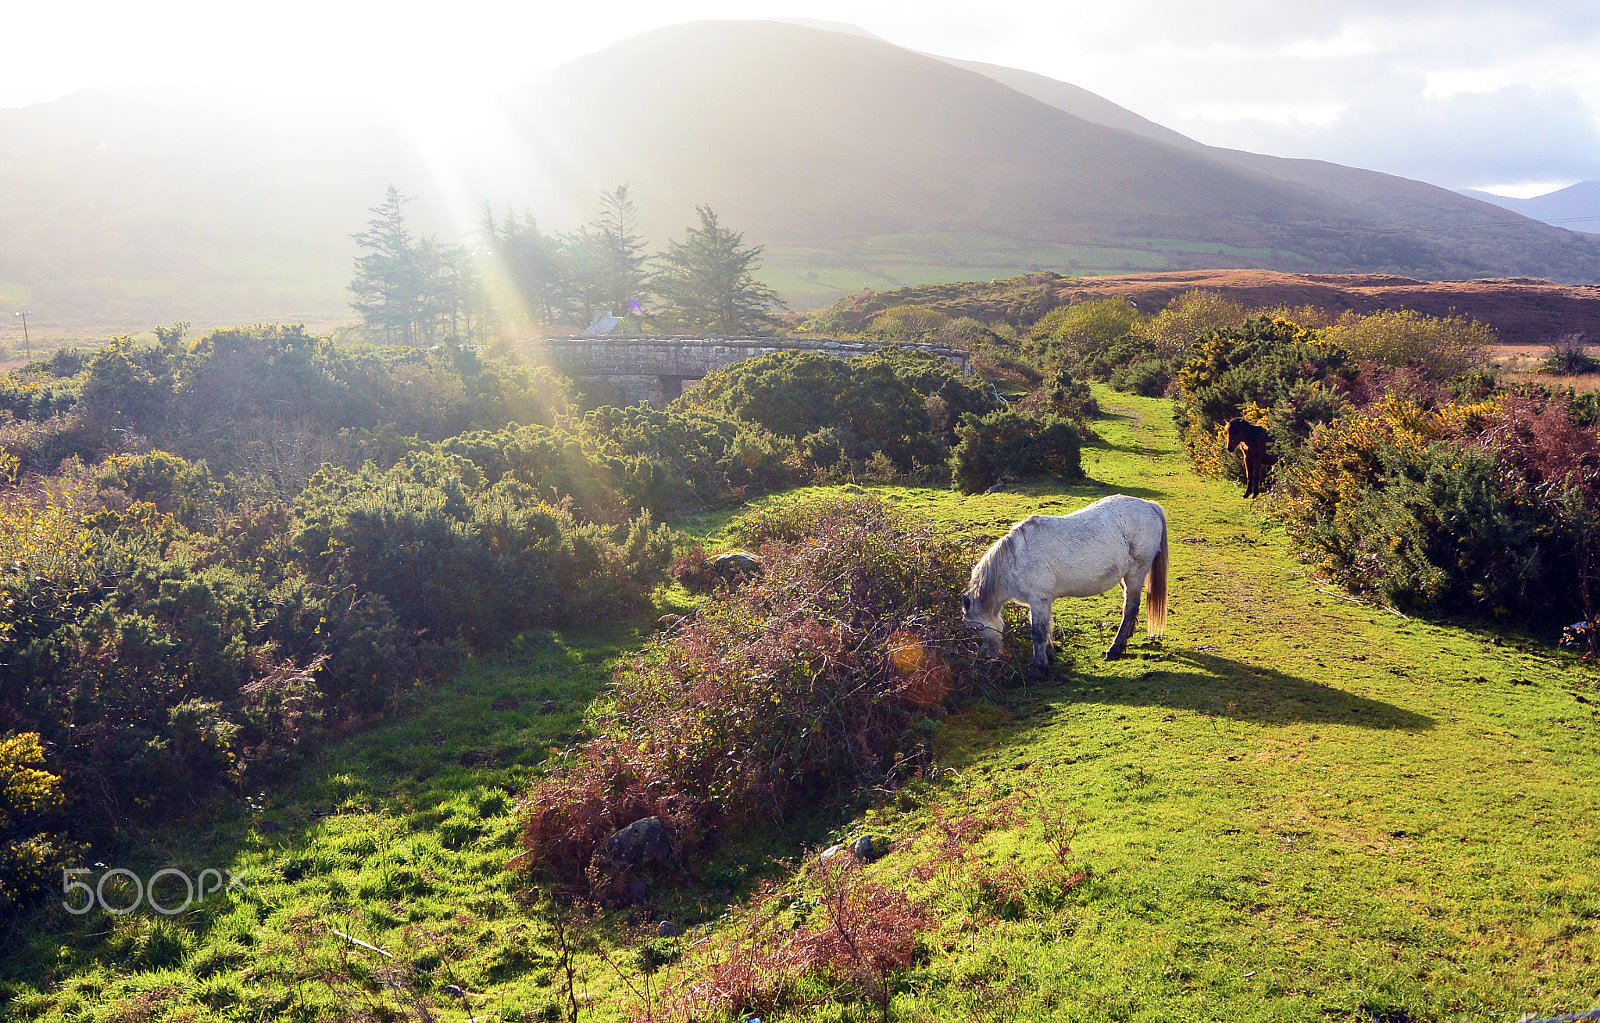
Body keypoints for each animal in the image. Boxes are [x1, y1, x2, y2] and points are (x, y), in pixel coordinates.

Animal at [953, 493, 1171, 669]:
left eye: (976, 628)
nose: (987, 657)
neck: (1014, 559)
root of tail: (1149, 505)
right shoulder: (1041, 600)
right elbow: (1046, 627)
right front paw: (1049, 655)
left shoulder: (1038, 598)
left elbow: (1038, 631)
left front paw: (1039, 666)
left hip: (1136, 574)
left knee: (1130, 608)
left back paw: (1115, 649)